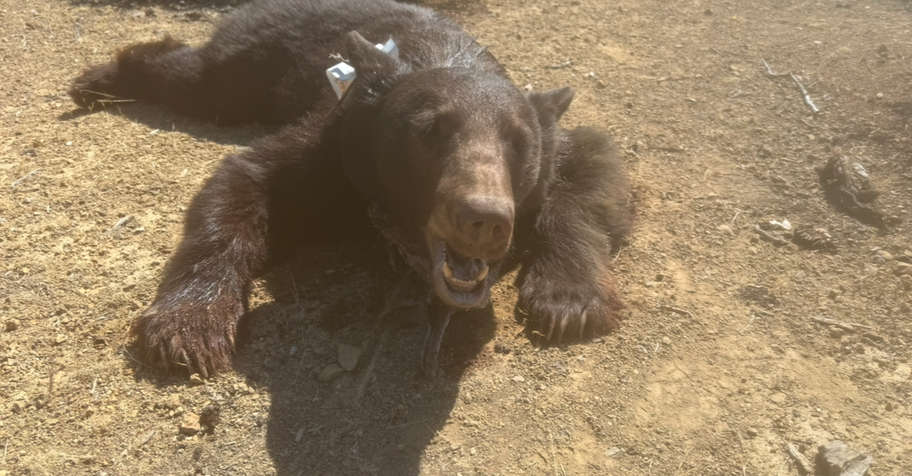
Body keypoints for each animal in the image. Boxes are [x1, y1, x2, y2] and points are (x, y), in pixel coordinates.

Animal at [70, 0, 634, 378]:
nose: (484, 218)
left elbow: (592, 178)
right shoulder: (339, 142)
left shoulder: (560, 145)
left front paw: (568, 299)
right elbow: (244, 181)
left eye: (519, 142)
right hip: (258, 59)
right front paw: (188, 324)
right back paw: (98, 79)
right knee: (200, 78)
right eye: (430, 130)